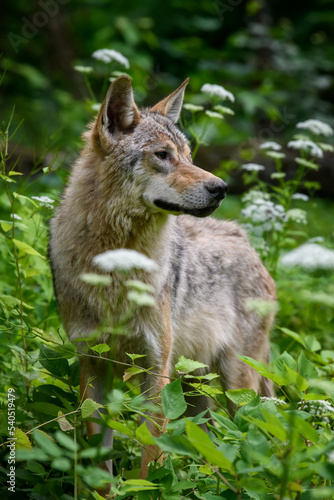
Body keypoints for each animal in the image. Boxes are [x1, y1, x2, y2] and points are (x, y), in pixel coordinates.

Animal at [48, 77, 276, 480]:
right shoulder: (93, 362)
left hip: (236, 388)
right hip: (199, 389)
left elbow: (150, 456)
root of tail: (245, 239)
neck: (117, 265)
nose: (221, 188)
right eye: (163, 155)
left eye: (187, 154)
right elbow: (99, 460)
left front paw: (146, 485)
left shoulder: (156, 368)